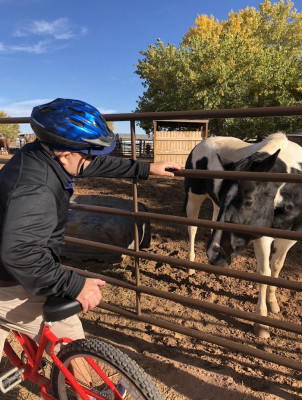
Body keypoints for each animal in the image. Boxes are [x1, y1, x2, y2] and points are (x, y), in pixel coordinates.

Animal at [184, 134, 302, 338]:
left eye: (248, 202)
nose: (215, 253)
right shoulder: (262, 235)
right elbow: (264, 272)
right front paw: (261, 323)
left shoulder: (291, 234)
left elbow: (277, 267)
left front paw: (273, 302)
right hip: (194, 197)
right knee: (192, 230)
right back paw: (191, 267)